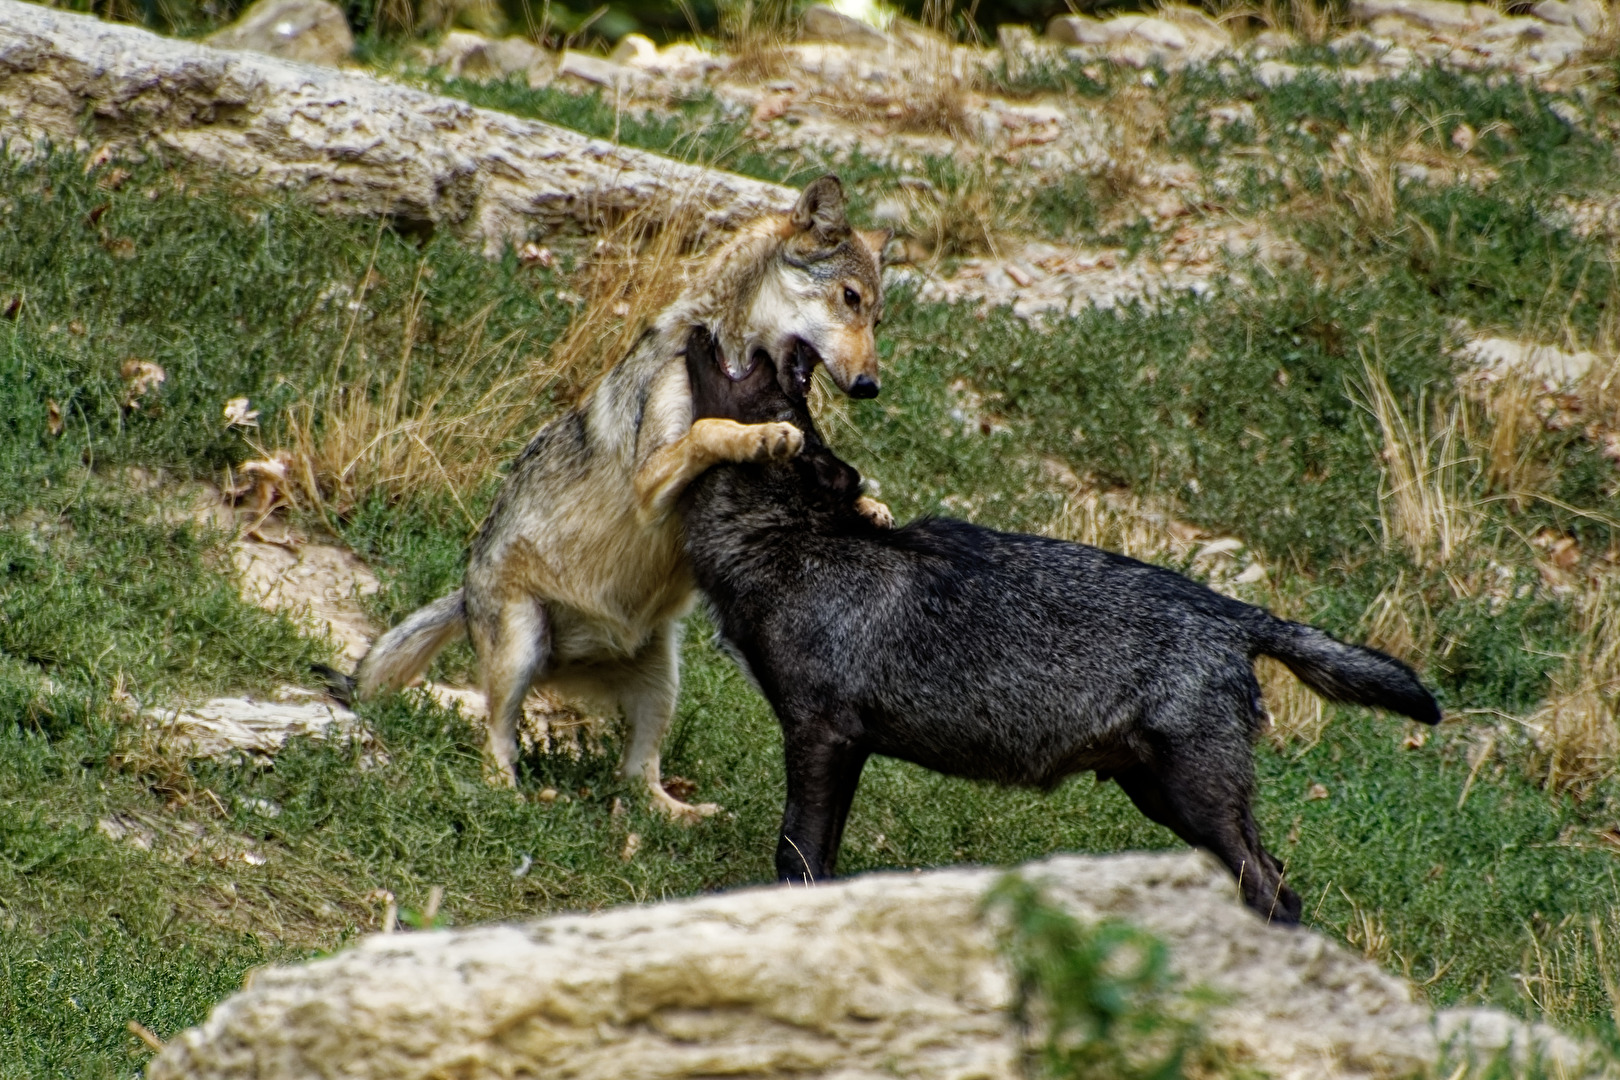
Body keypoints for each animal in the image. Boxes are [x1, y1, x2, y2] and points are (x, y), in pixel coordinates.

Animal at [325, 177, 887, 819]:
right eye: (850, 297)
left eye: (878, 316)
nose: (871, 385)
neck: (733, 356)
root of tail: (466, 597)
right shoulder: (650, 484)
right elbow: (707, 431)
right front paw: (761, 438)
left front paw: (871, 507)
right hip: (523, 646)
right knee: (495, 737)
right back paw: (511, 793)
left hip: (663, 678)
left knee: (638, 779)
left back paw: (681, 814)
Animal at [677, 327, 1438, 919]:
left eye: (790, 391)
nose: (803, 349)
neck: (792, 544)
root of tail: (1235, 613)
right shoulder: (845, 748)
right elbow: (819, 862)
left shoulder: (820, 738)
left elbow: (795, 856)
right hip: (1162, 797)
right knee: (1278, 883)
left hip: (1194, 802)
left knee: (1276, 894)